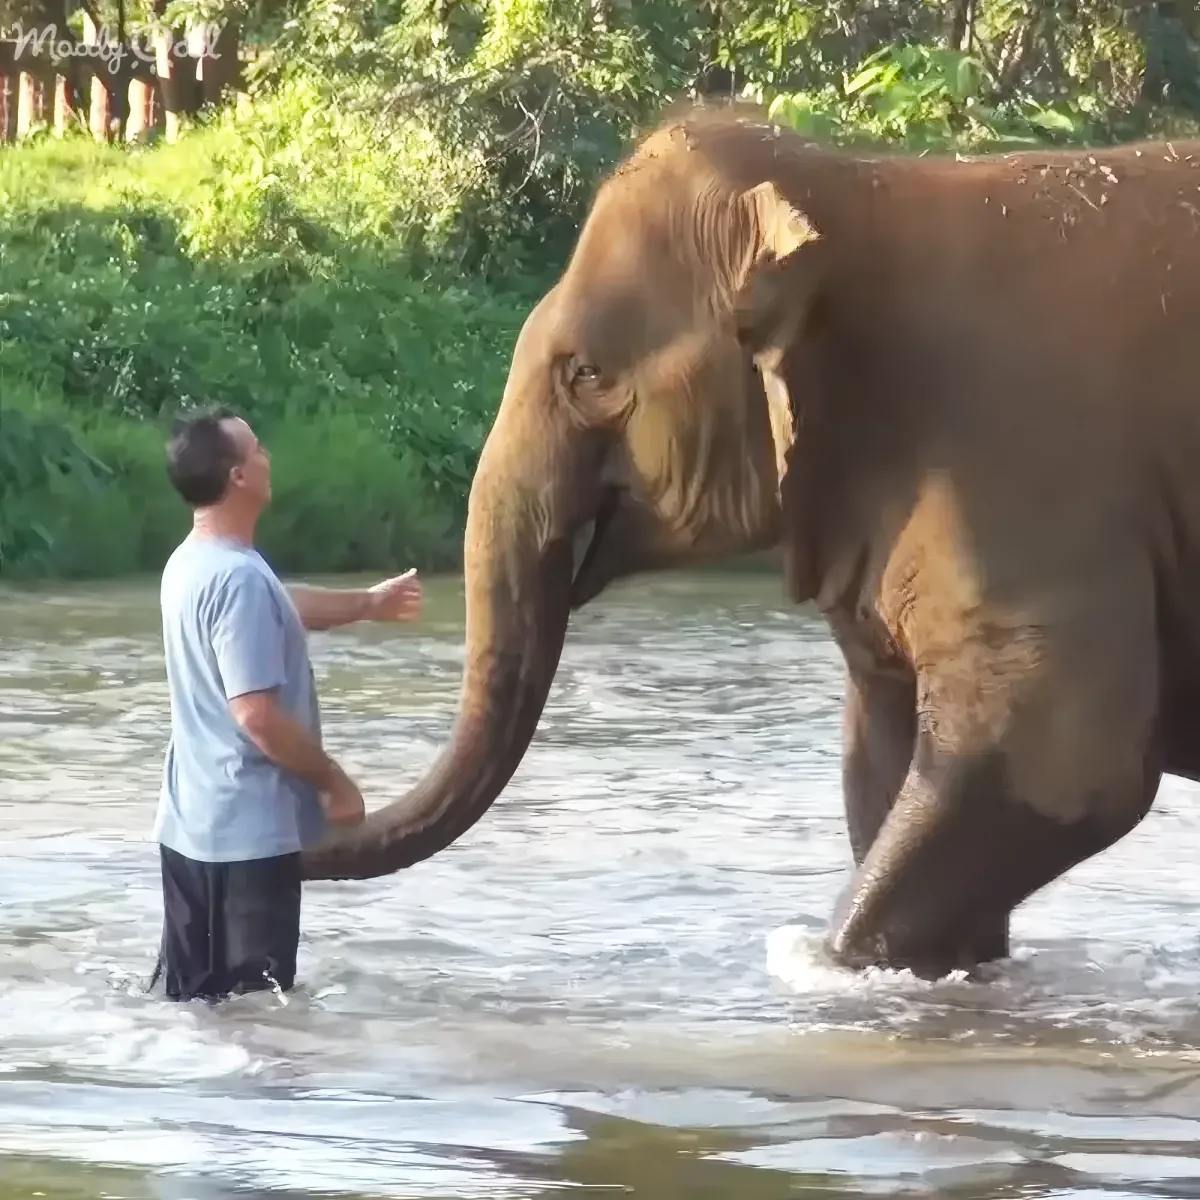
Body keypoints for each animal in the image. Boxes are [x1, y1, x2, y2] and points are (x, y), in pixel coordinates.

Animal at [302, 102, 1200, 979]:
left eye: (587, 374)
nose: (321, 817)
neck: (852, 187)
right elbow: (881, 760)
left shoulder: (1027, 475)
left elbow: (1065, 767)